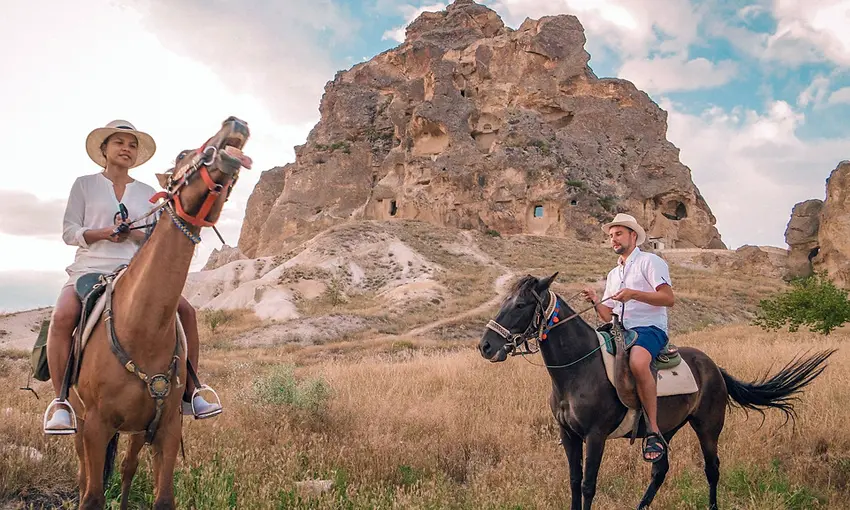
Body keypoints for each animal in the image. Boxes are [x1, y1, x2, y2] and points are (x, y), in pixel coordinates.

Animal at [476, 274, 836, 510]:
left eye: (521, 304)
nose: (486, 346)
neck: (580, 369)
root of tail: (714, 367)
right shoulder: (568, 434)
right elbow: (574, 483)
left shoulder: (594, 435)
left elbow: (588, 485)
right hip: (664, 430)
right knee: (660, 469)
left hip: (708, 428)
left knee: (712, 469)